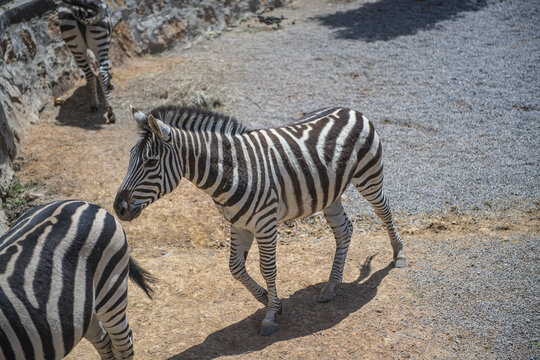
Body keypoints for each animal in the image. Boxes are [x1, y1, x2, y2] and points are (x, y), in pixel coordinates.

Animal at [114, 105, 408, 336]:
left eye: (151, 162)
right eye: (129, 158)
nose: (118, 208)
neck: (232, 171)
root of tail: (350, 109)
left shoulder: (265, 224)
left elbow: (268, 269)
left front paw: (269, 317)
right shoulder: (238, 224)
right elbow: (235, 268)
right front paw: (268, 300)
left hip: (368, 175)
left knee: (384, 210)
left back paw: (399, 254)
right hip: (330, 193)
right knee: (344, 230)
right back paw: (331, 286)